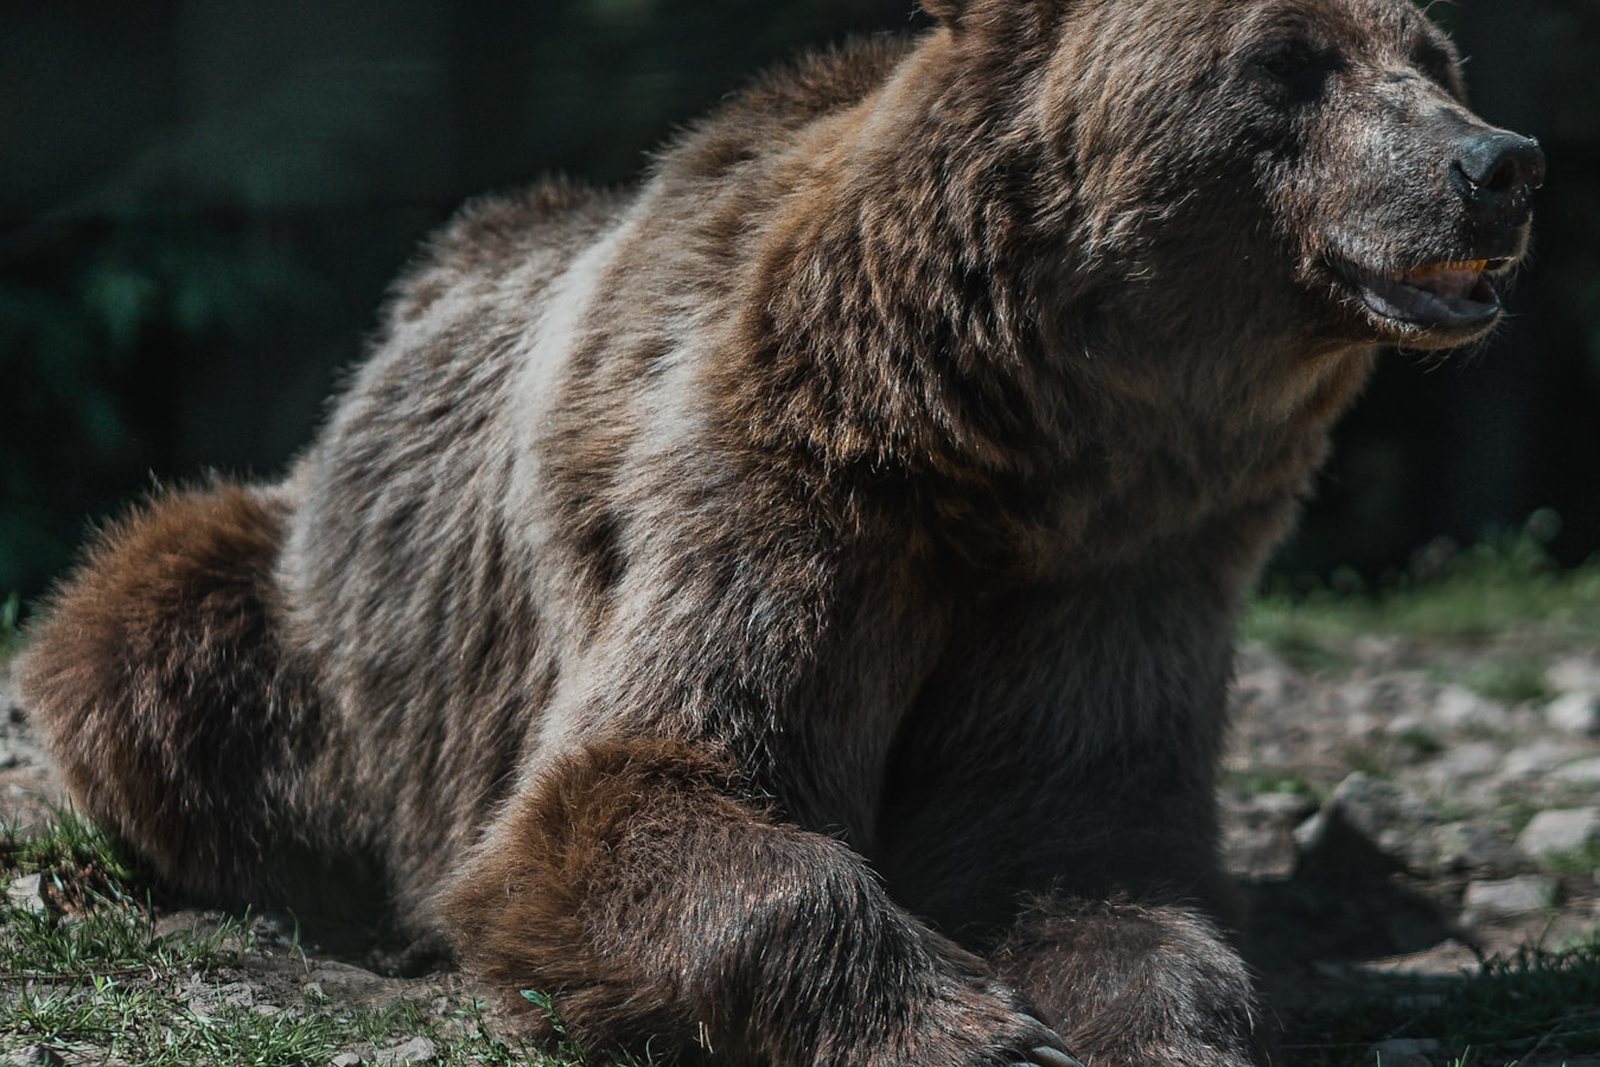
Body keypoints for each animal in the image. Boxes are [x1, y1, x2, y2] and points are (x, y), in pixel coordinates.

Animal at [18, 0, 1542, 1063]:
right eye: (1284, 60)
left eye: (1432, 50)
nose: (1499, 160)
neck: (1015, 446)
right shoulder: (778, 487)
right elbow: (634, 784)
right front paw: (977, 1026)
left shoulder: (1126, 570)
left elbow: (1080, 849)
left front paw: (1142, 1014)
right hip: (293, 613)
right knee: (148, 636)